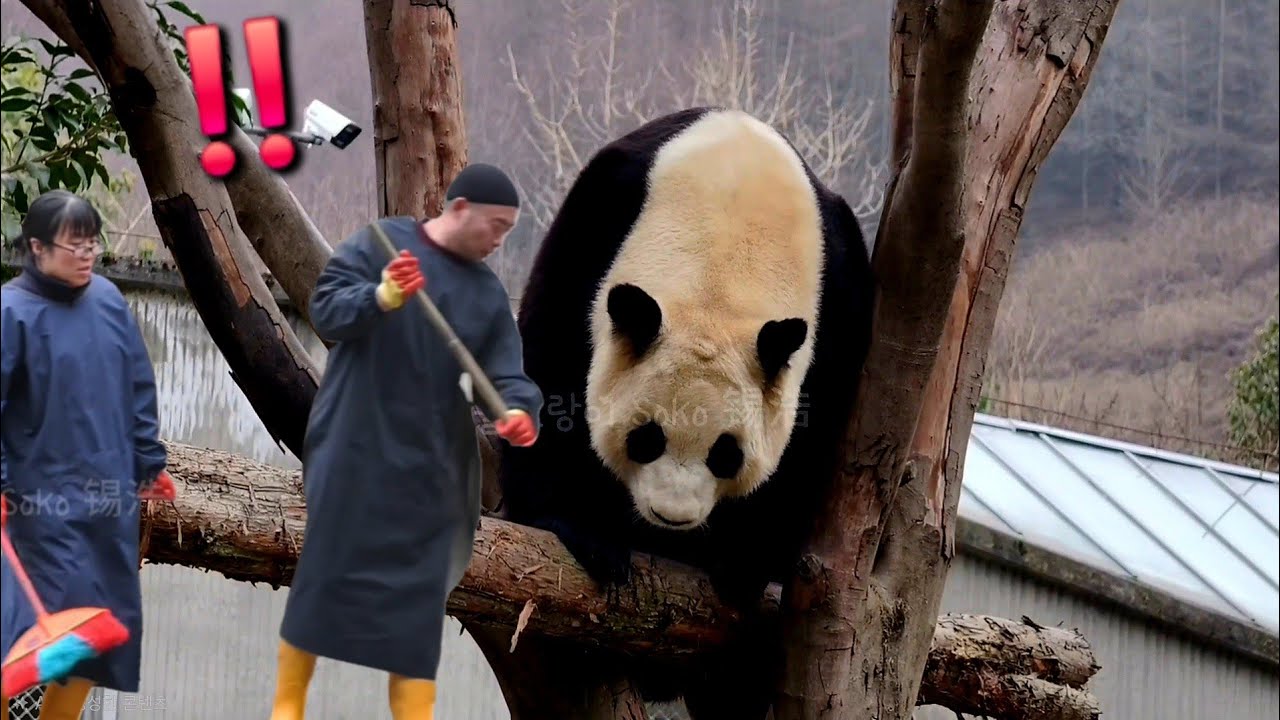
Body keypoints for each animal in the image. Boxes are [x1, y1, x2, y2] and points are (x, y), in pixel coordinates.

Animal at [497, 106, 875, 716]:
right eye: (646, 437)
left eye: (726, 453)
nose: (671, 517)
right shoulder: (603, 214)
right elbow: (552, 353)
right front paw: (585, 531)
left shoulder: (838, 291)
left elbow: (811, 438)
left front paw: (742, 564)